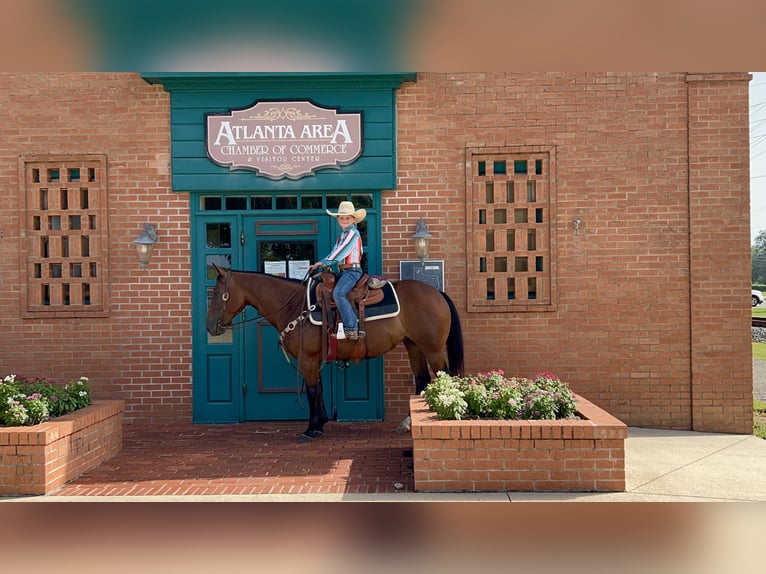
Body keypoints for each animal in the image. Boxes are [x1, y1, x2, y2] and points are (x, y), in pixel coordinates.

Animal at [207, 264, 464, 444]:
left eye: (218, 293)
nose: (210, 327)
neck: (294, 306)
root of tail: (437, 293)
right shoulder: (312, 359)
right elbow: (319, 389)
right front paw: (320, 424)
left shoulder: (307, 358)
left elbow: (312, 391)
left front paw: (311, 428)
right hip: (414, 346)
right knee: (422, 381)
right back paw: (408, 422)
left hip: (432, 349)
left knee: (445, 379)